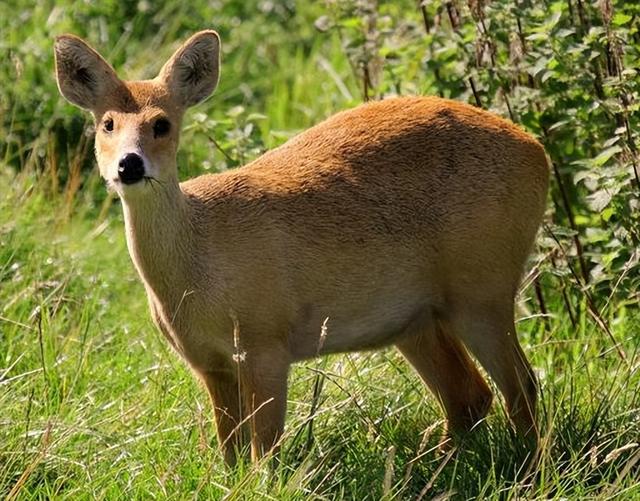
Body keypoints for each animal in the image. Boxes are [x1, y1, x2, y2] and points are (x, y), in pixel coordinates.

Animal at [52, 29, 552, 462]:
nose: (129, 165)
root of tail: (538, 151)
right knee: (470, 396)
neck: (198, 269)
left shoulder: (266, 342)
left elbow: (265, 452)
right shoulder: (208, 362)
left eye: (161, 124)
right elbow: (231, 454)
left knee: (521, 386)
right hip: (416, 320)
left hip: (483, 285)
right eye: (107, 123)